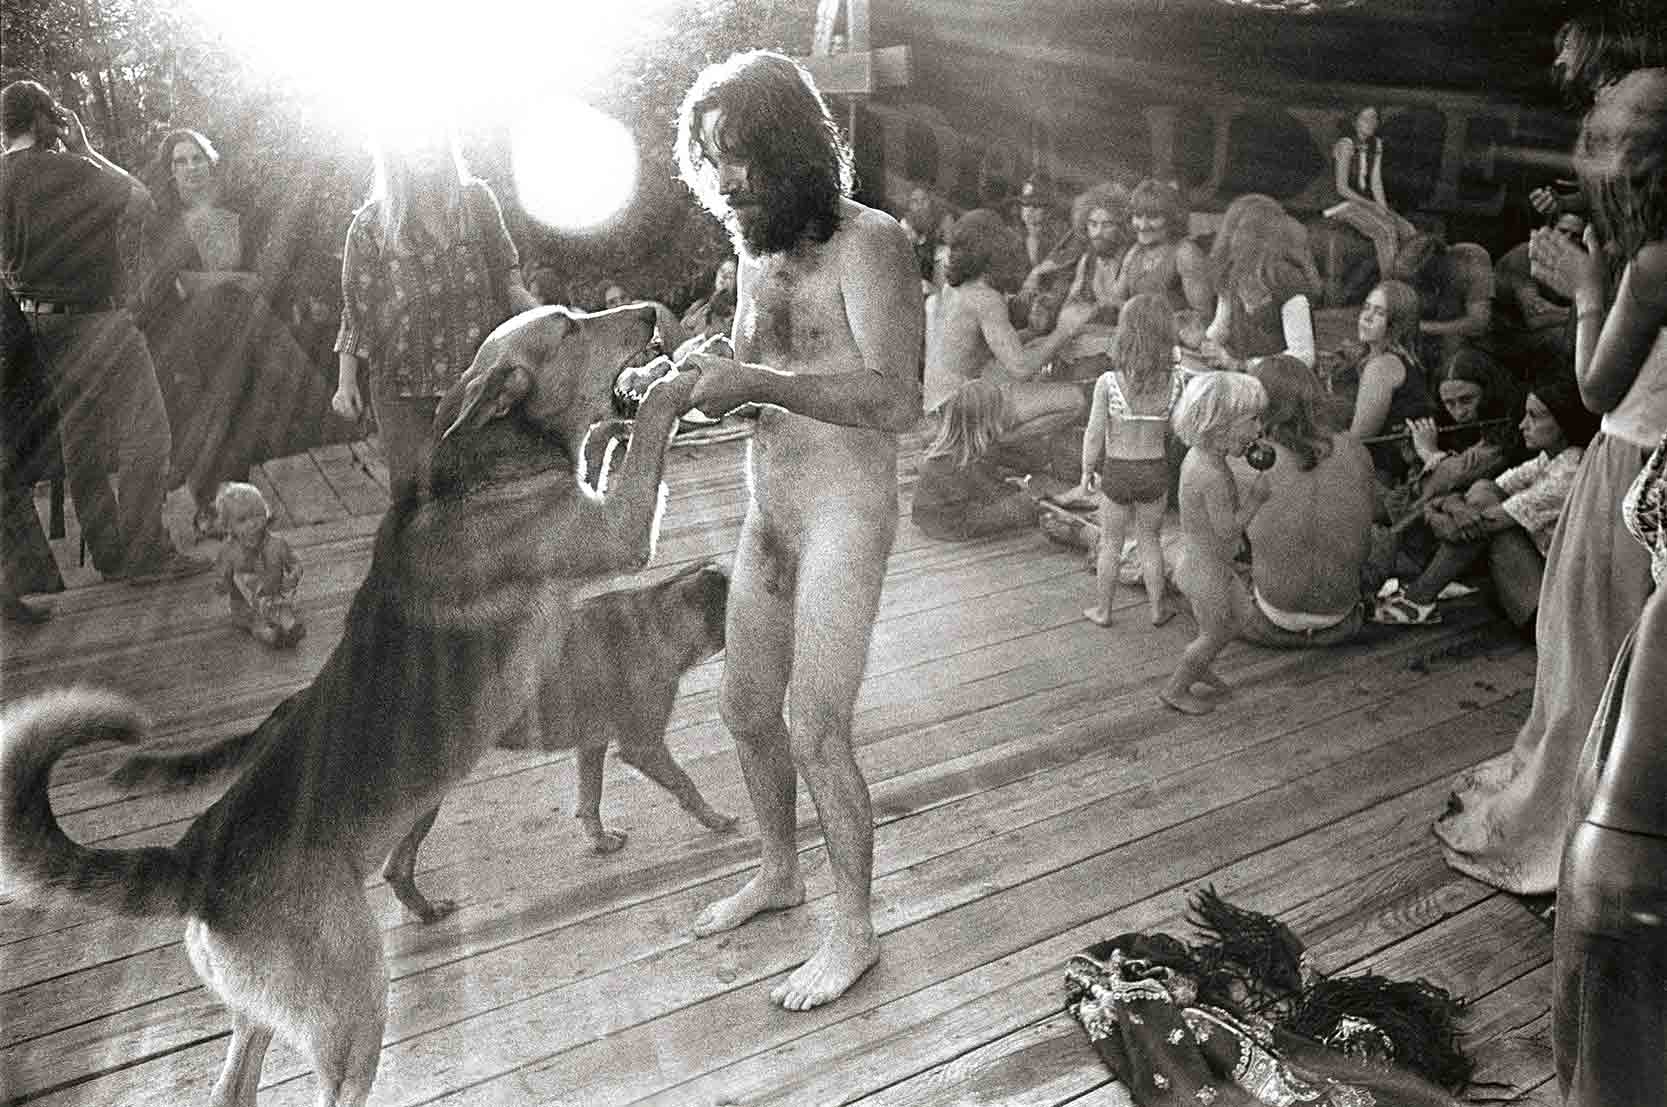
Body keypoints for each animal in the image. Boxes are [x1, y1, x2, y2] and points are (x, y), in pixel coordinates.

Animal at [0, 303, 696, 1107]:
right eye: (570, 327)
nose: (653, 312)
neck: (481, 465)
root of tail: (194, 860)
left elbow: (622, 441)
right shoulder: (618, 532)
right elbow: (649, 432)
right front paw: (674, 381)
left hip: (263, 1010)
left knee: (234, 1086)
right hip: (355, 1007)